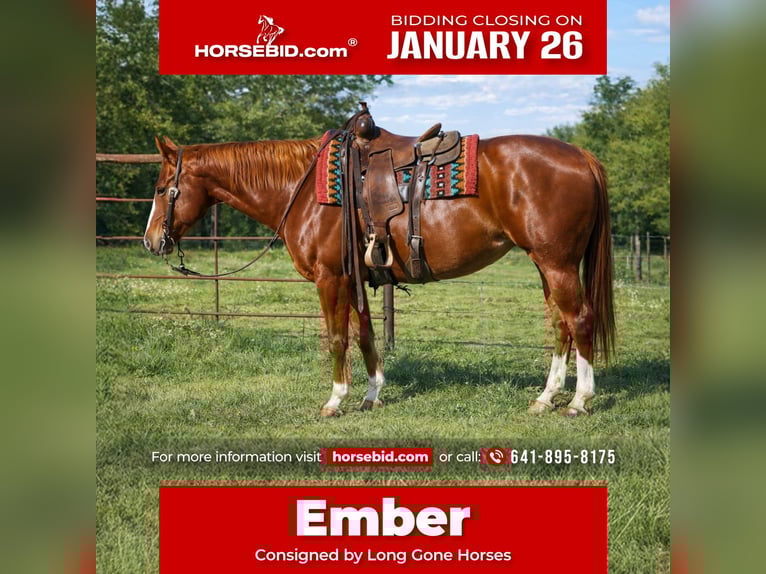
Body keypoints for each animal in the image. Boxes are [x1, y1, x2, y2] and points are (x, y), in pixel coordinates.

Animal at [143, 125, 615, 418]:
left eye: (163, 188)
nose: (150, 241)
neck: (303, 190)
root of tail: (582, 156)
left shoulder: (330, 278)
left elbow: (338, 337)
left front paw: (335, 400)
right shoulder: (354, 278)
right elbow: (365, 334)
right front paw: (372, 395)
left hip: (557, 263)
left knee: (580, 320)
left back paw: (579, 401)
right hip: (545, 265)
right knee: (559, 324)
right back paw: (545, 398)